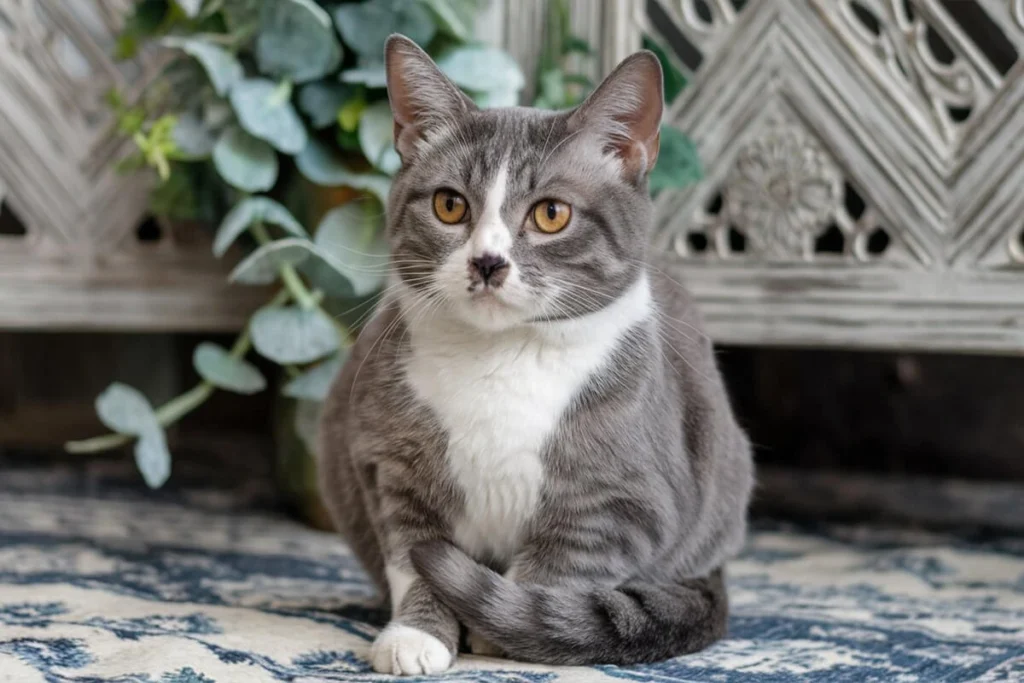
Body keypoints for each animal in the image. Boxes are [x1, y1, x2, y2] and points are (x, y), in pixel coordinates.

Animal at [315, 34, 757, 675]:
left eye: (551, 214)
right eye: (450, 205)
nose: (487, 261)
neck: (500, 359)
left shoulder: (623, 500)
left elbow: (558, 569)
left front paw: (505, 630)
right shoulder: (386, 462)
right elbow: (413, 555)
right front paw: (416, 635)